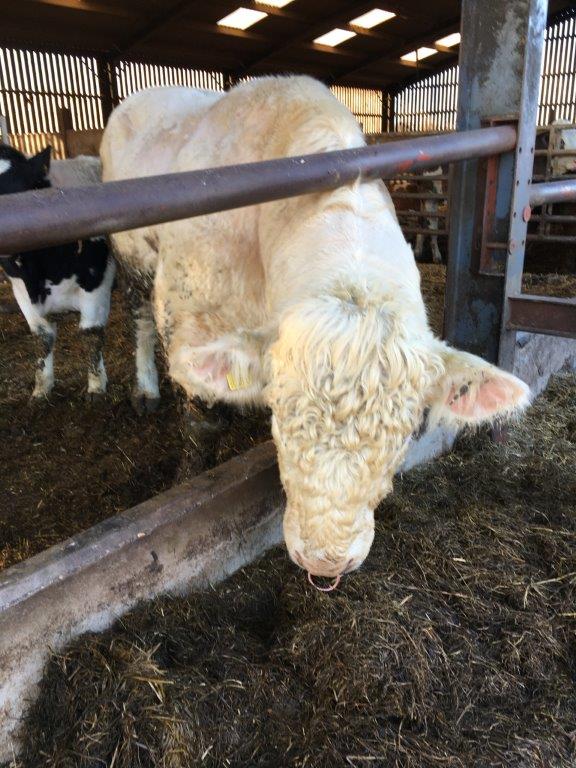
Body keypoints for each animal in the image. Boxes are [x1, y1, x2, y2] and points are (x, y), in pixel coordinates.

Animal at [0, 144, 115, 400]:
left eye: (16, 191)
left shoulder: (96, 280)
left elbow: (91, 333)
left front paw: (96, 387)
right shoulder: (20, 290)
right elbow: (42, 337)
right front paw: (41, 388)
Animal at [101, 76, 530, 580]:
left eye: (407, 433)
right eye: (279, 419)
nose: (326, 561)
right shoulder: (189, 308)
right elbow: (201, 418)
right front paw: (188, 478)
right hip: (130, 255)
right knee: (138, 318)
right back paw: (147, 388)